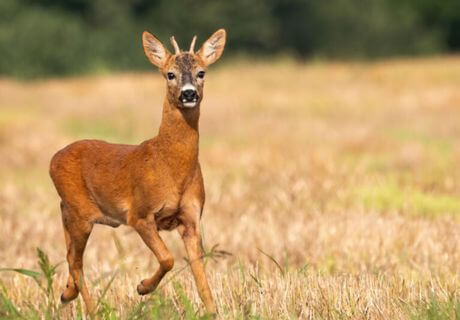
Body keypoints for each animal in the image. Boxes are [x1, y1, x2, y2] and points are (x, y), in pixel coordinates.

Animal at [49, 28, 226, 316]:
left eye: (201, 72)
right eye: (170, 74)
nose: (188, 94)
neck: (172, 168)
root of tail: (53, 158)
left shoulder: (191, 219)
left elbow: (201, 277)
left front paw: (212, 312)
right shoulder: (140, 213)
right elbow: (168, 258)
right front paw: (142, 287)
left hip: (71, 210)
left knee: (70, 254)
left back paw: (66, 294)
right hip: (81, 213)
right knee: (76, 261)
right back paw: (91, 310)